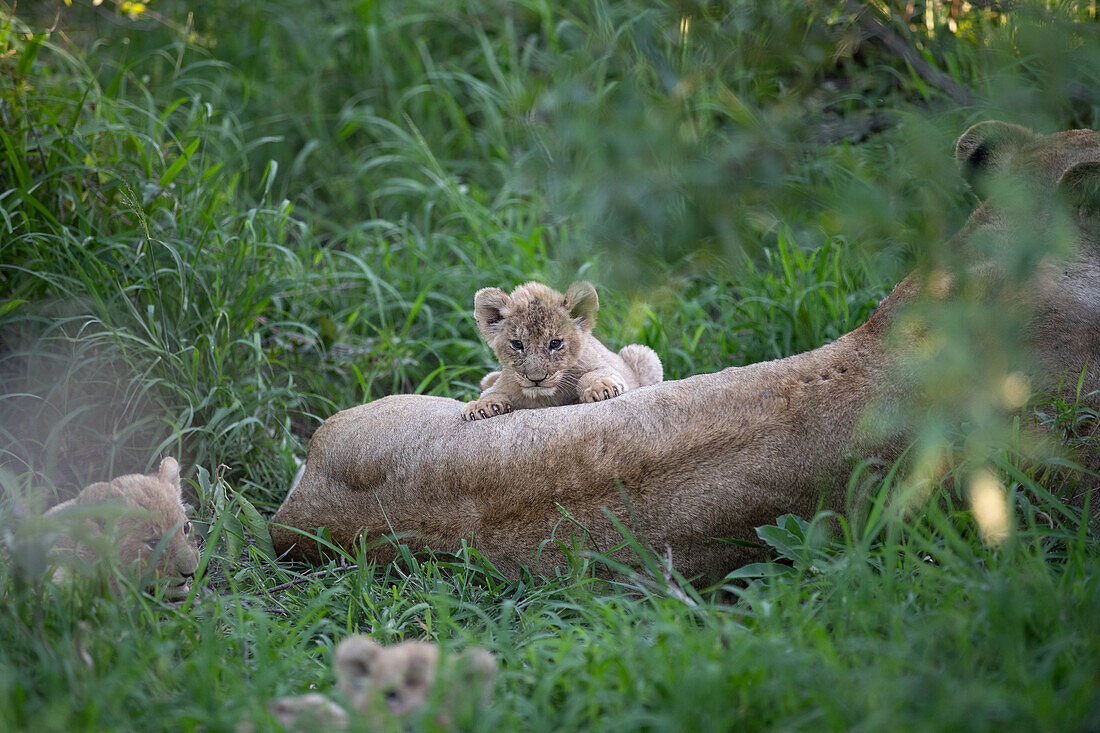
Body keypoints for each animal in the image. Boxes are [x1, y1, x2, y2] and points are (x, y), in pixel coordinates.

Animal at [464, 278, 660, 420]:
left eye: (555, 343)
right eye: (517, 344)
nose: (536, 379)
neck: (545, 398)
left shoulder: (603, 365)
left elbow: (596, 373)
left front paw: (602, 388)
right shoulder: (502, 382)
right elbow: (490, 392)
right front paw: (479, 406)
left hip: (641, 353)